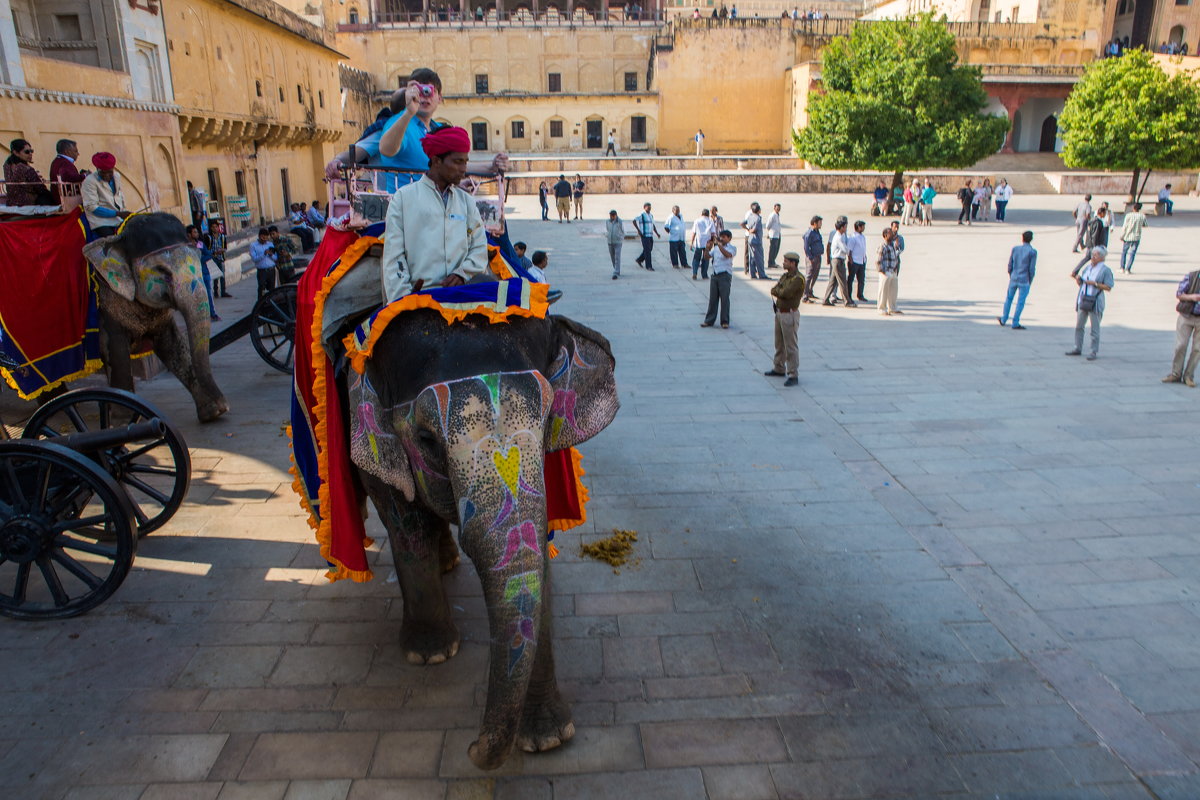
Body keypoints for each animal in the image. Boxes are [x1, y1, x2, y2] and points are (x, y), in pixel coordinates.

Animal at [83, 212, 228, 424]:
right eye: (162, 271)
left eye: (198, 258)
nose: (225, 404)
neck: (119, 235)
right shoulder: (105, 303)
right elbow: (117, 353)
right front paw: (122, 421)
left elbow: (172, 346)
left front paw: (212, 412)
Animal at [343, 307, 614, 767]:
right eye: (426, 440)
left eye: (548, 421)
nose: (470, 748)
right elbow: (405, 519)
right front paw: (430, 654)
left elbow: (535, 545)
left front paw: (547, 739)